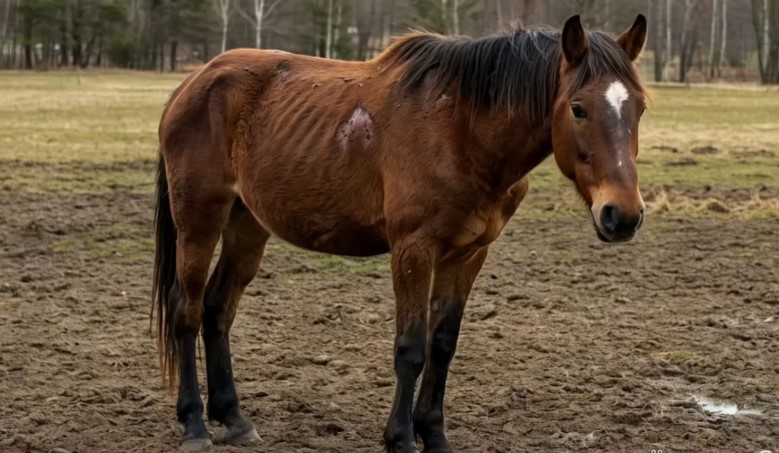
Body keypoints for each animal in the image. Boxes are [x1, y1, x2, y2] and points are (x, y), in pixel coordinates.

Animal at [152, 14, 648, 452]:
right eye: (578, 108)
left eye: (640, 107)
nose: (622, 215)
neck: (462, 129)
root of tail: (192, 83)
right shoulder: (413, 249)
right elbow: (411, 347)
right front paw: (401, 438)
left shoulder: (468, 254)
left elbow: (442, 345)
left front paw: (436, 436)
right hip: (199, 220)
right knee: (186, 310)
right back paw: (194, 425)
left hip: (247, 223)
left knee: (218, 309)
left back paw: (235, 420)